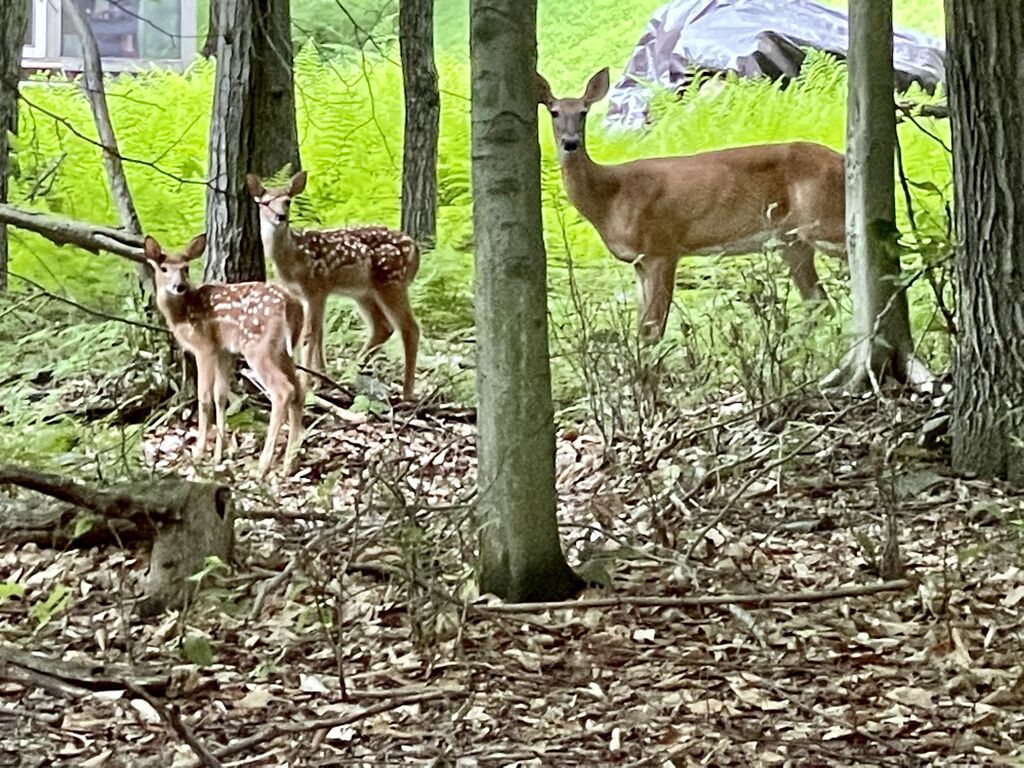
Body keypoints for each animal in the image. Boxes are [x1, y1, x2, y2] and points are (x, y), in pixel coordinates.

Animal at [144, 234, 305, 478]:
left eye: (185, 268)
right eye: (163, 268)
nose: (179, 286)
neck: (182, 315)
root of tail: (290, 305)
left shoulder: (205, 347)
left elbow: (204, 398)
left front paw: (199, 453)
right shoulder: (224, 351)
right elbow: (221, 396)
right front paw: (219, 455)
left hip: (257, 347)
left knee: (283, 390)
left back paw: (263, 465)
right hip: (283, 351)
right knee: (299, 390)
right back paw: (289, 464)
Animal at [245, 171, 421, 400]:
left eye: (287, 201)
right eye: (264, 203)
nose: (281, 217)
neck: (292, 257)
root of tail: (416, 249)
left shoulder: (315, 288)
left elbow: (309, 335)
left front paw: (306, 383)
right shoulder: (310, 293)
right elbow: (319, 334)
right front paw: (321, 380)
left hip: (392, 281)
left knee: (410, 328)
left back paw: (407, 392)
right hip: (364, 292)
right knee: (383, 327)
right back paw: (350, 375)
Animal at [537, 67, 847, 344]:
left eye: (583, 112)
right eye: (554, 112)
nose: (570, 143)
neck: (609, 198)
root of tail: (842, 160)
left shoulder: (662, 248)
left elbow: (652, 332)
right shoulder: (639, 261)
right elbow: (642, 330)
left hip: (824, 220)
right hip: (791, 243)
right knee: (819, 304)